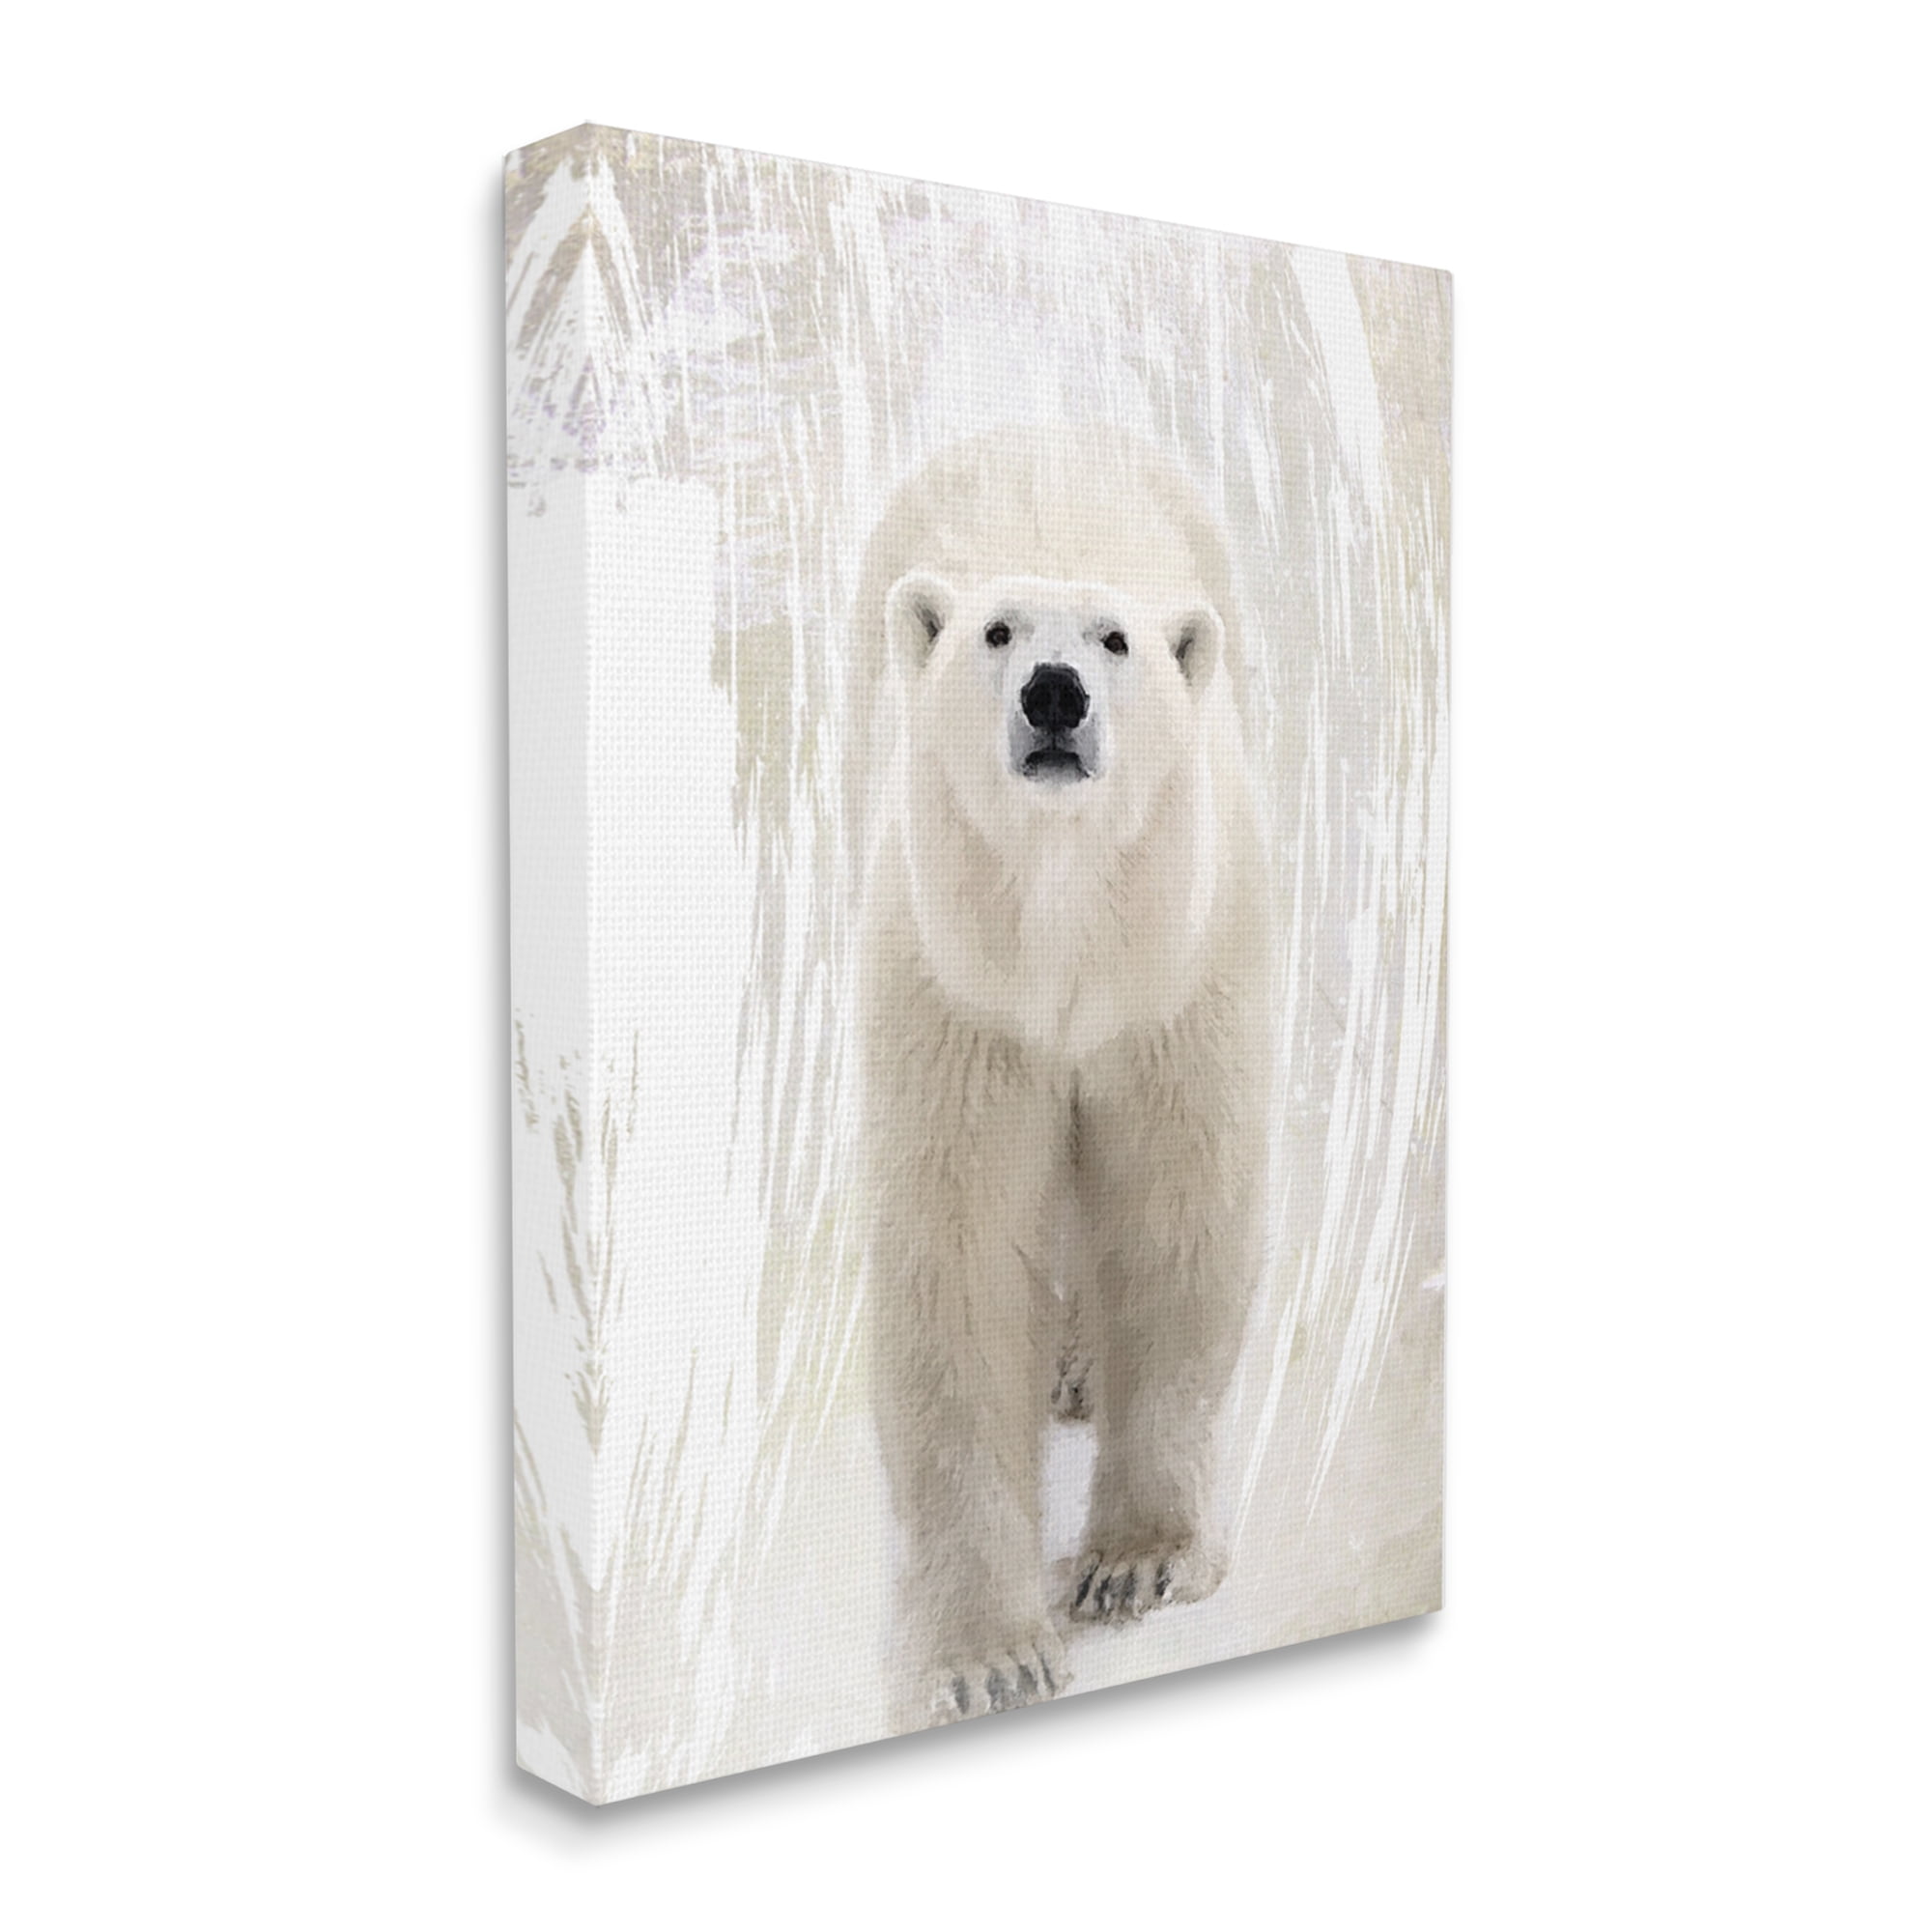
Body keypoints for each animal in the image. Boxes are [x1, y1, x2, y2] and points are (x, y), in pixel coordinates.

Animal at [849, 426, 1273, 1726]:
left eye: (1115, 639)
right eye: (994, 631)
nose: (1053, 691)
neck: (1064, 925)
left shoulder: (1174, 984)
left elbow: (1174, 1211)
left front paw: (1134, 1561)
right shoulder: (958, 997)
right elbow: (958, 1252)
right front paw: (989, 1653)